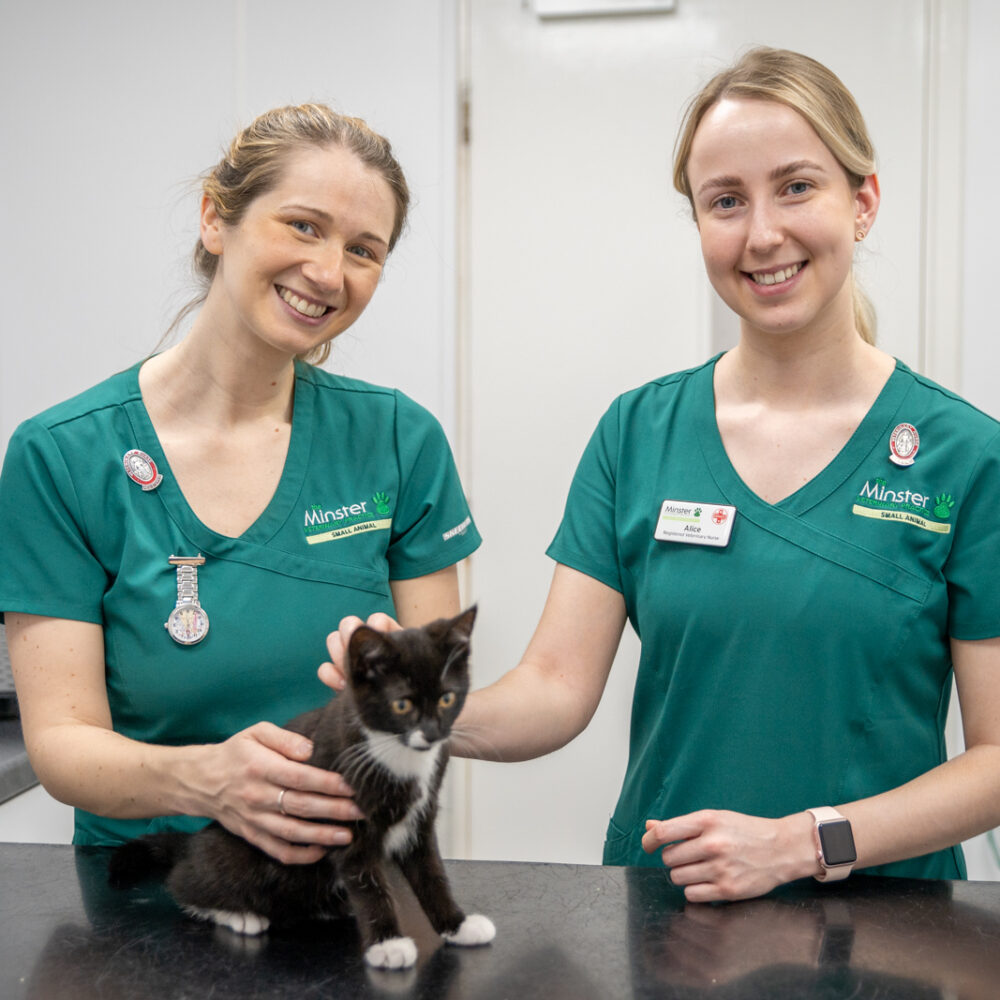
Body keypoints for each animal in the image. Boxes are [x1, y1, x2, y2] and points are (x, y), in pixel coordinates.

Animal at [107, 604, 494, 964]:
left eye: (447, 698)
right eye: (402, 705)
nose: (431, 733)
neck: (395, 751)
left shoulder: (420, 817)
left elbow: (432, 875)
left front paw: (458, 925)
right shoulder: (346, 821)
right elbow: (368, 882)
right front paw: (388, 944)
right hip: (233, 856)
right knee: (186, 883)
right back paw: (238, 913)